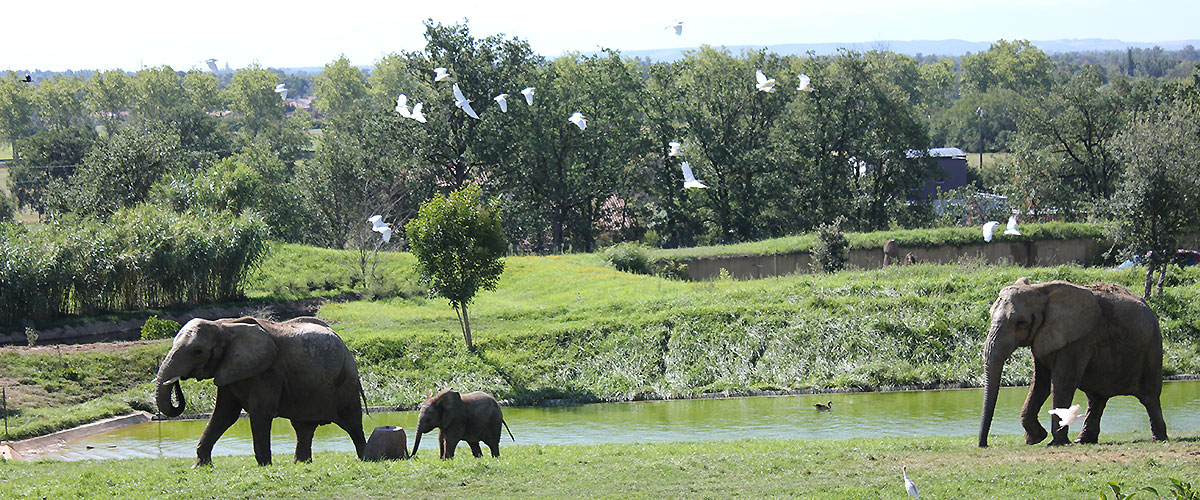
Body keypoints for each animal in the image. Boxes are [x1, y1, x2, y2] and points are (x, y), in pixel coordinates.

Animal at [157, 316, 367, 462]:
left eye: (198, 352)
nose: (177, 381)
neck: (224, 326)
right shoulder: (228, 370)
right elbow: (224, 415)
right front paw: (200, 466)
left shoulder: (268, 372)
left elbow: (260, 414)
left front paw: (264, 466)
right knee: (303, 427)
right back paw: (301, 463)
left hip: (346, 380)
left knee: (352, 422)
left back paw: (366, 458)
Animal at [979, 278, 1166, 446]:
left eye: (1021, 323)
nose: (984, 445)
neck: (1040, 291)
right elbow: (1040, 383)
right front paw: (1036, 439)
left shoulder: (1079, 339)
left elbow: (1062, 382)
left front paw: (1055, 443)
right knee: (1096, 399)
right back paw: (1083, 441)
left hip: (1152, 346)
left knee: (1149, 397)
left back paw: (1159, 439)